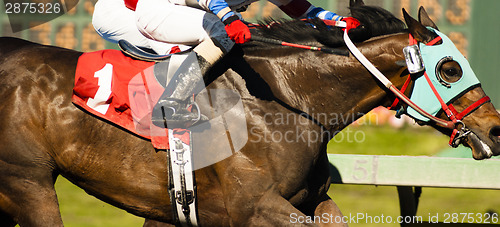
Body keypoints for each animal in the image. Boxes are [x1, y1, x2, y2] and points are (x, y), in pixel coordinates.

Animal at [0, 0, 500, 226]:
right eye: (451, 68)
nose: (495, 131)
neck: (285, 101)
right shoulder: (256, 207)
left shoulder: (311, 199)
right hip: (29, 181)